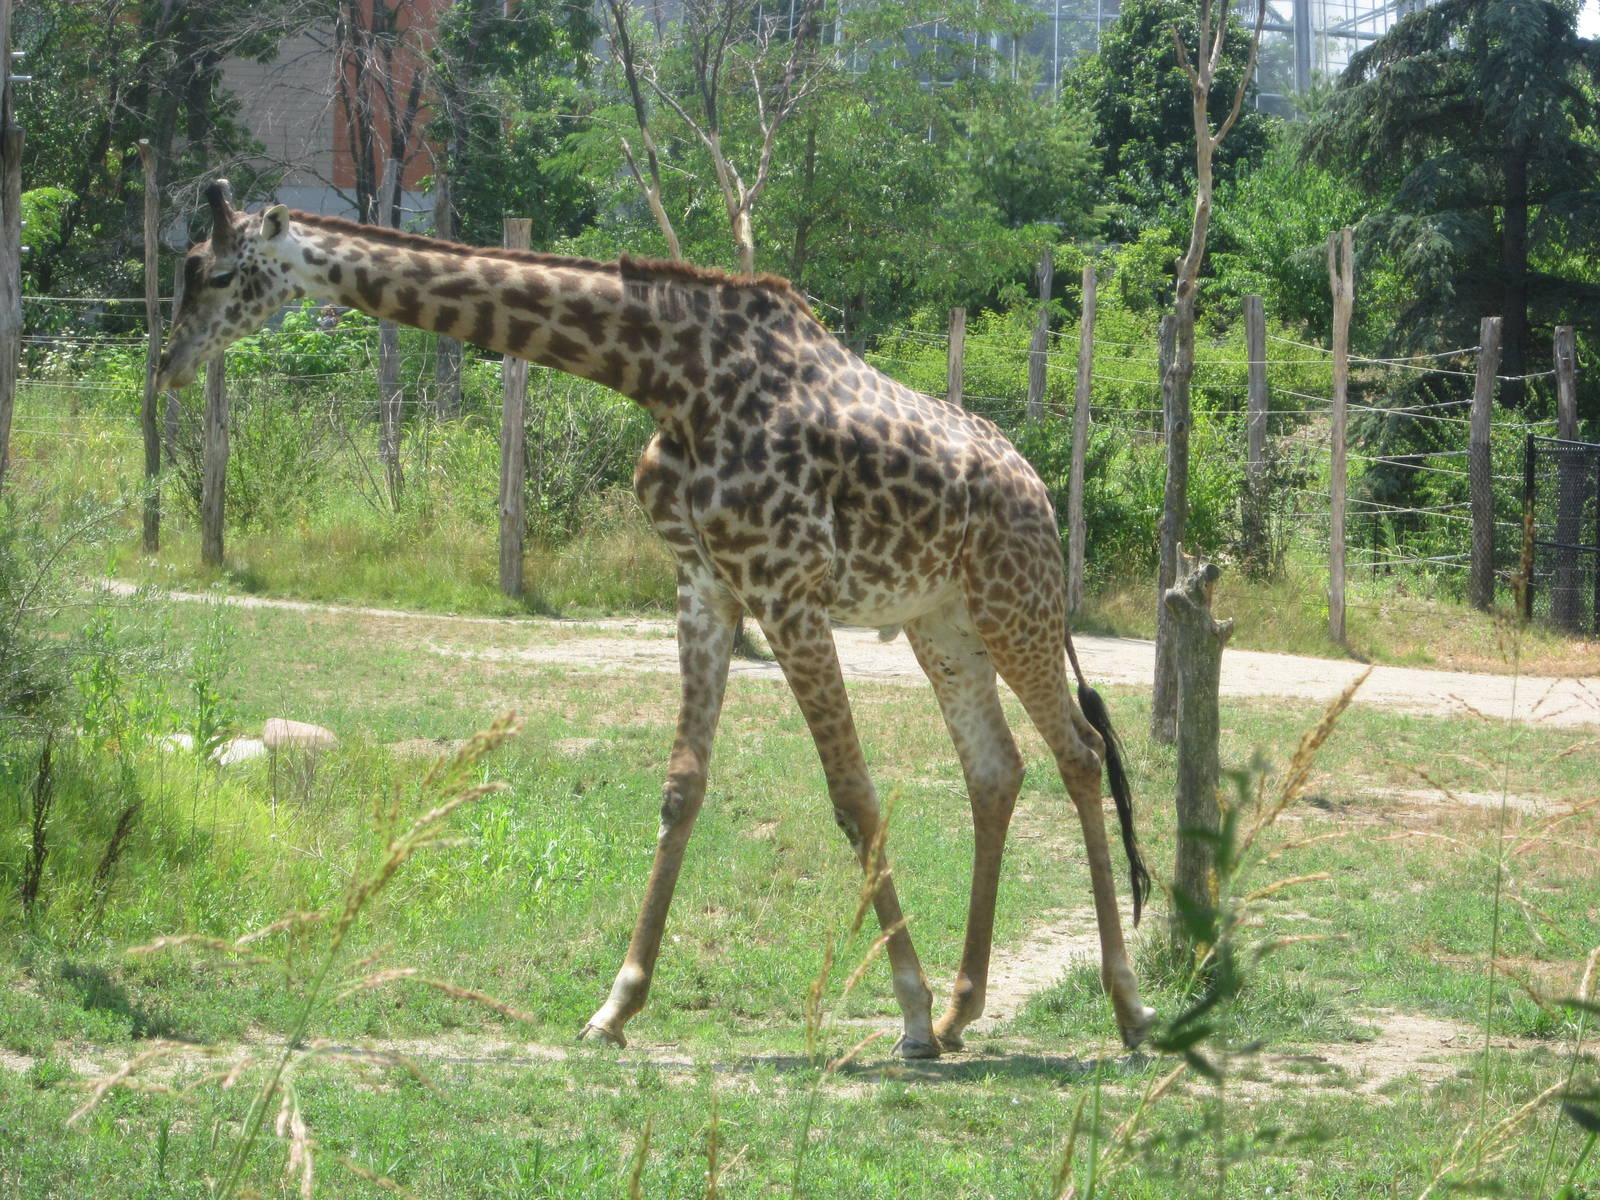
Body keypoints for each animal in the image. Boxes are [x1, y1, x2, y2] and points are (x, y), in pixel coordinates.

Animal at [156, 182, 1156, 1058]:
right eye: (186, 266)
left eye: (216, 273)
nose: (166, 366)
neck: (671, 377)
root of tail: (1039, 490)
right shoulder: (705, 584)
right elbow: (683, 787)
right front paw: (615, 1007)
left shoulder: (786, 590)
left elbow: (853, 794)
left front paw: (904, 1013)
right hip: (941, 621)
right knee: (996, 770)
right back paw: (963, 1013)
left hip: (1015, 601)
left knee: (1079, 753)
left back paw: (1124, 1008)